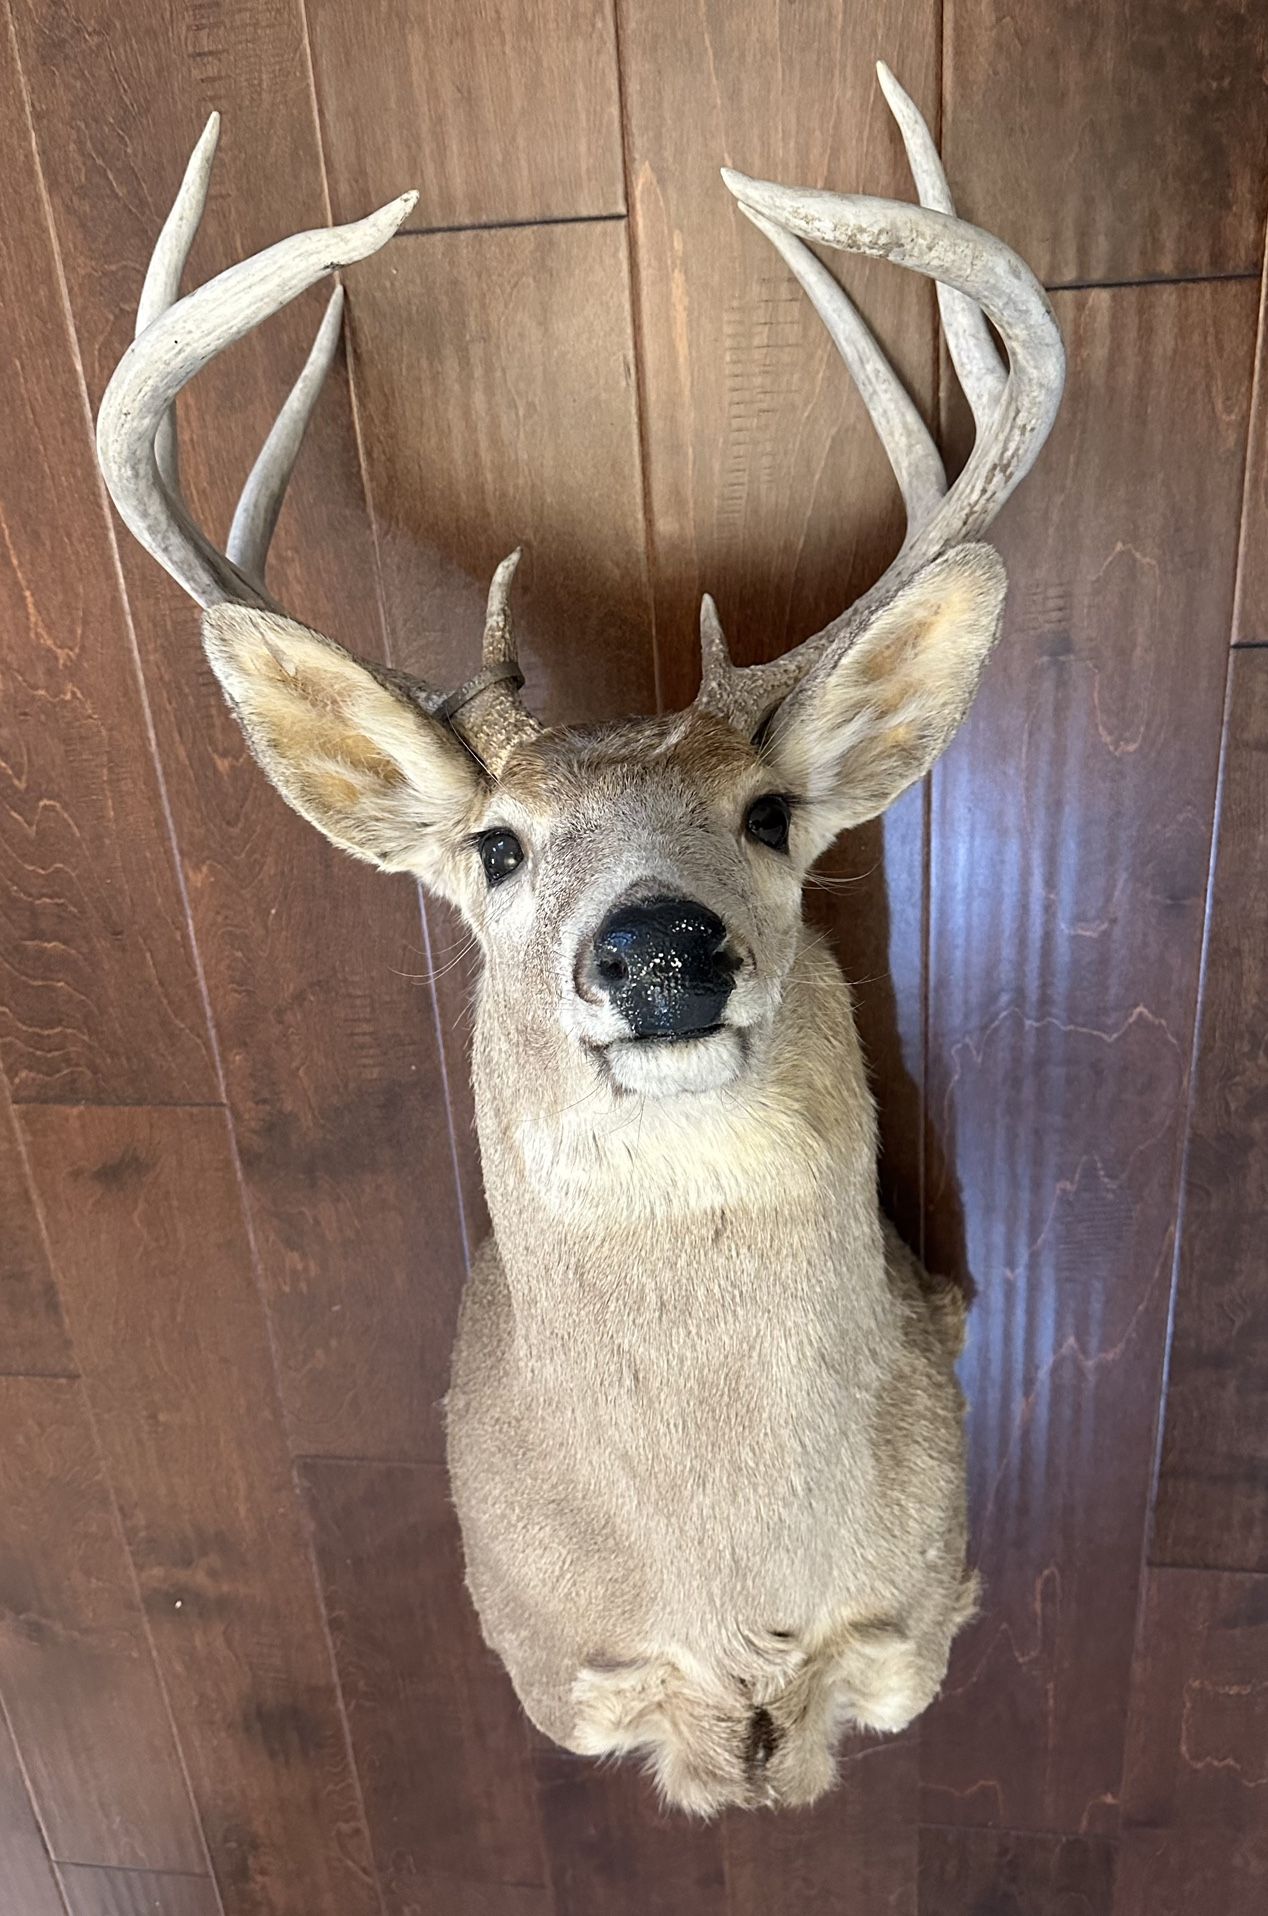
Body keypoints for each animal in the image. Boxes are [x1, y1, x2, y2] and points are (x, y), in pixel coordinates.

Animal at [96, 64, 1063, 1814]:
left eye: (769, 814)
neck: (730, 1592)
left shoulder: (919, 1610)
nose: (658, 946)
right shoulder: (562, 1674)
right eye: (496, 849)